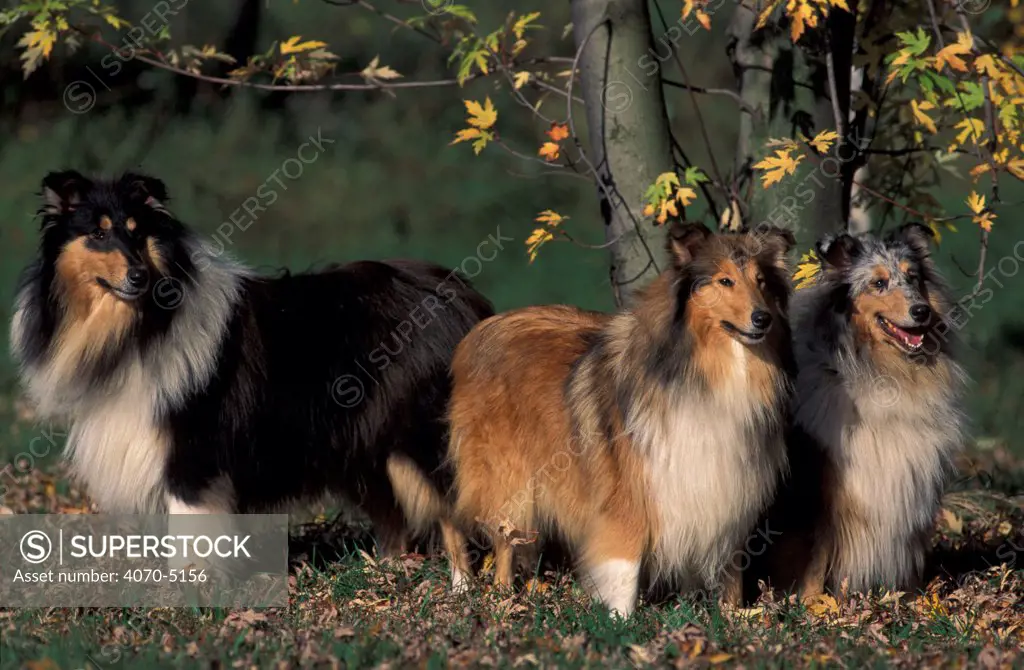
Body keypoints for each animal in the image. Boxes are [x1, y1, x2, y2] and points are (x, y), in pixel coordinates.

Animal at [9, 173, 493, 557]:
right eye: (98, 234)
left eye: (136, 233)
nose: (138, 277)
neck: (139, 327)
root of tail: (458, 292)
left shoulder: (192, 454)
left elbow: (189, 532)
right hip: (368, 448)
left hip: (421, 437)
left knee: (458, 512)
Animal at [444, 223, 794, 618]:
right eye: (725, 280)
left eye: (761, 281)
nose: (762, 318)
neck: (703, 372)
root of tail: (479, 332)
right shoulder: (628, 494)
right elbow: (624, 570)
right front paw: (620, 622)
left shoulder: (728, 496)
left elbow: (731, 569)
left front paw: (734, 615)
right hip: (506, 477)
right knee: (491, 534)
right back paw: (491, 595)